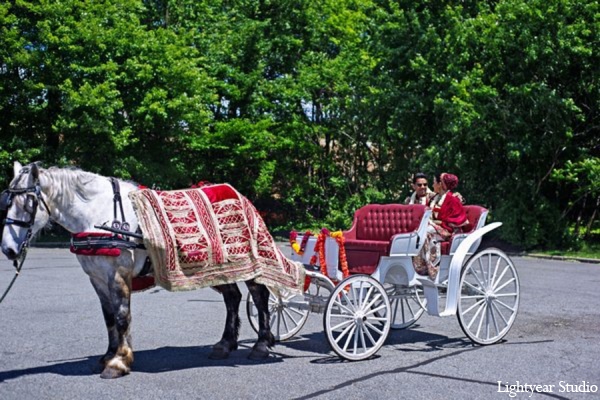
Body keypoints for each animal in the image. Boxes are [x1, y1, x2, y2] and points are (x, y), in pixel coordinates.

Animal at [0, 162, 274, 378]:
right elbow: (109, 317)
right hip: (218, 270)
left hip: (247, 264)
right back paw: (225, 344)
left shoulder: (118, 274)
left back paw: (261, 344)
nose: (8, 250)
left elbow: (122, 317)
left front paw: (118, 362)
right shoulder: (97, 278)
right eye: (7, 201)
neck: (97, 214)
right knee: (233, 297)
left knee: (259, 296)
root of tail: (240, 196)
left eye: (29, 202)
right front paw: (108, 355)